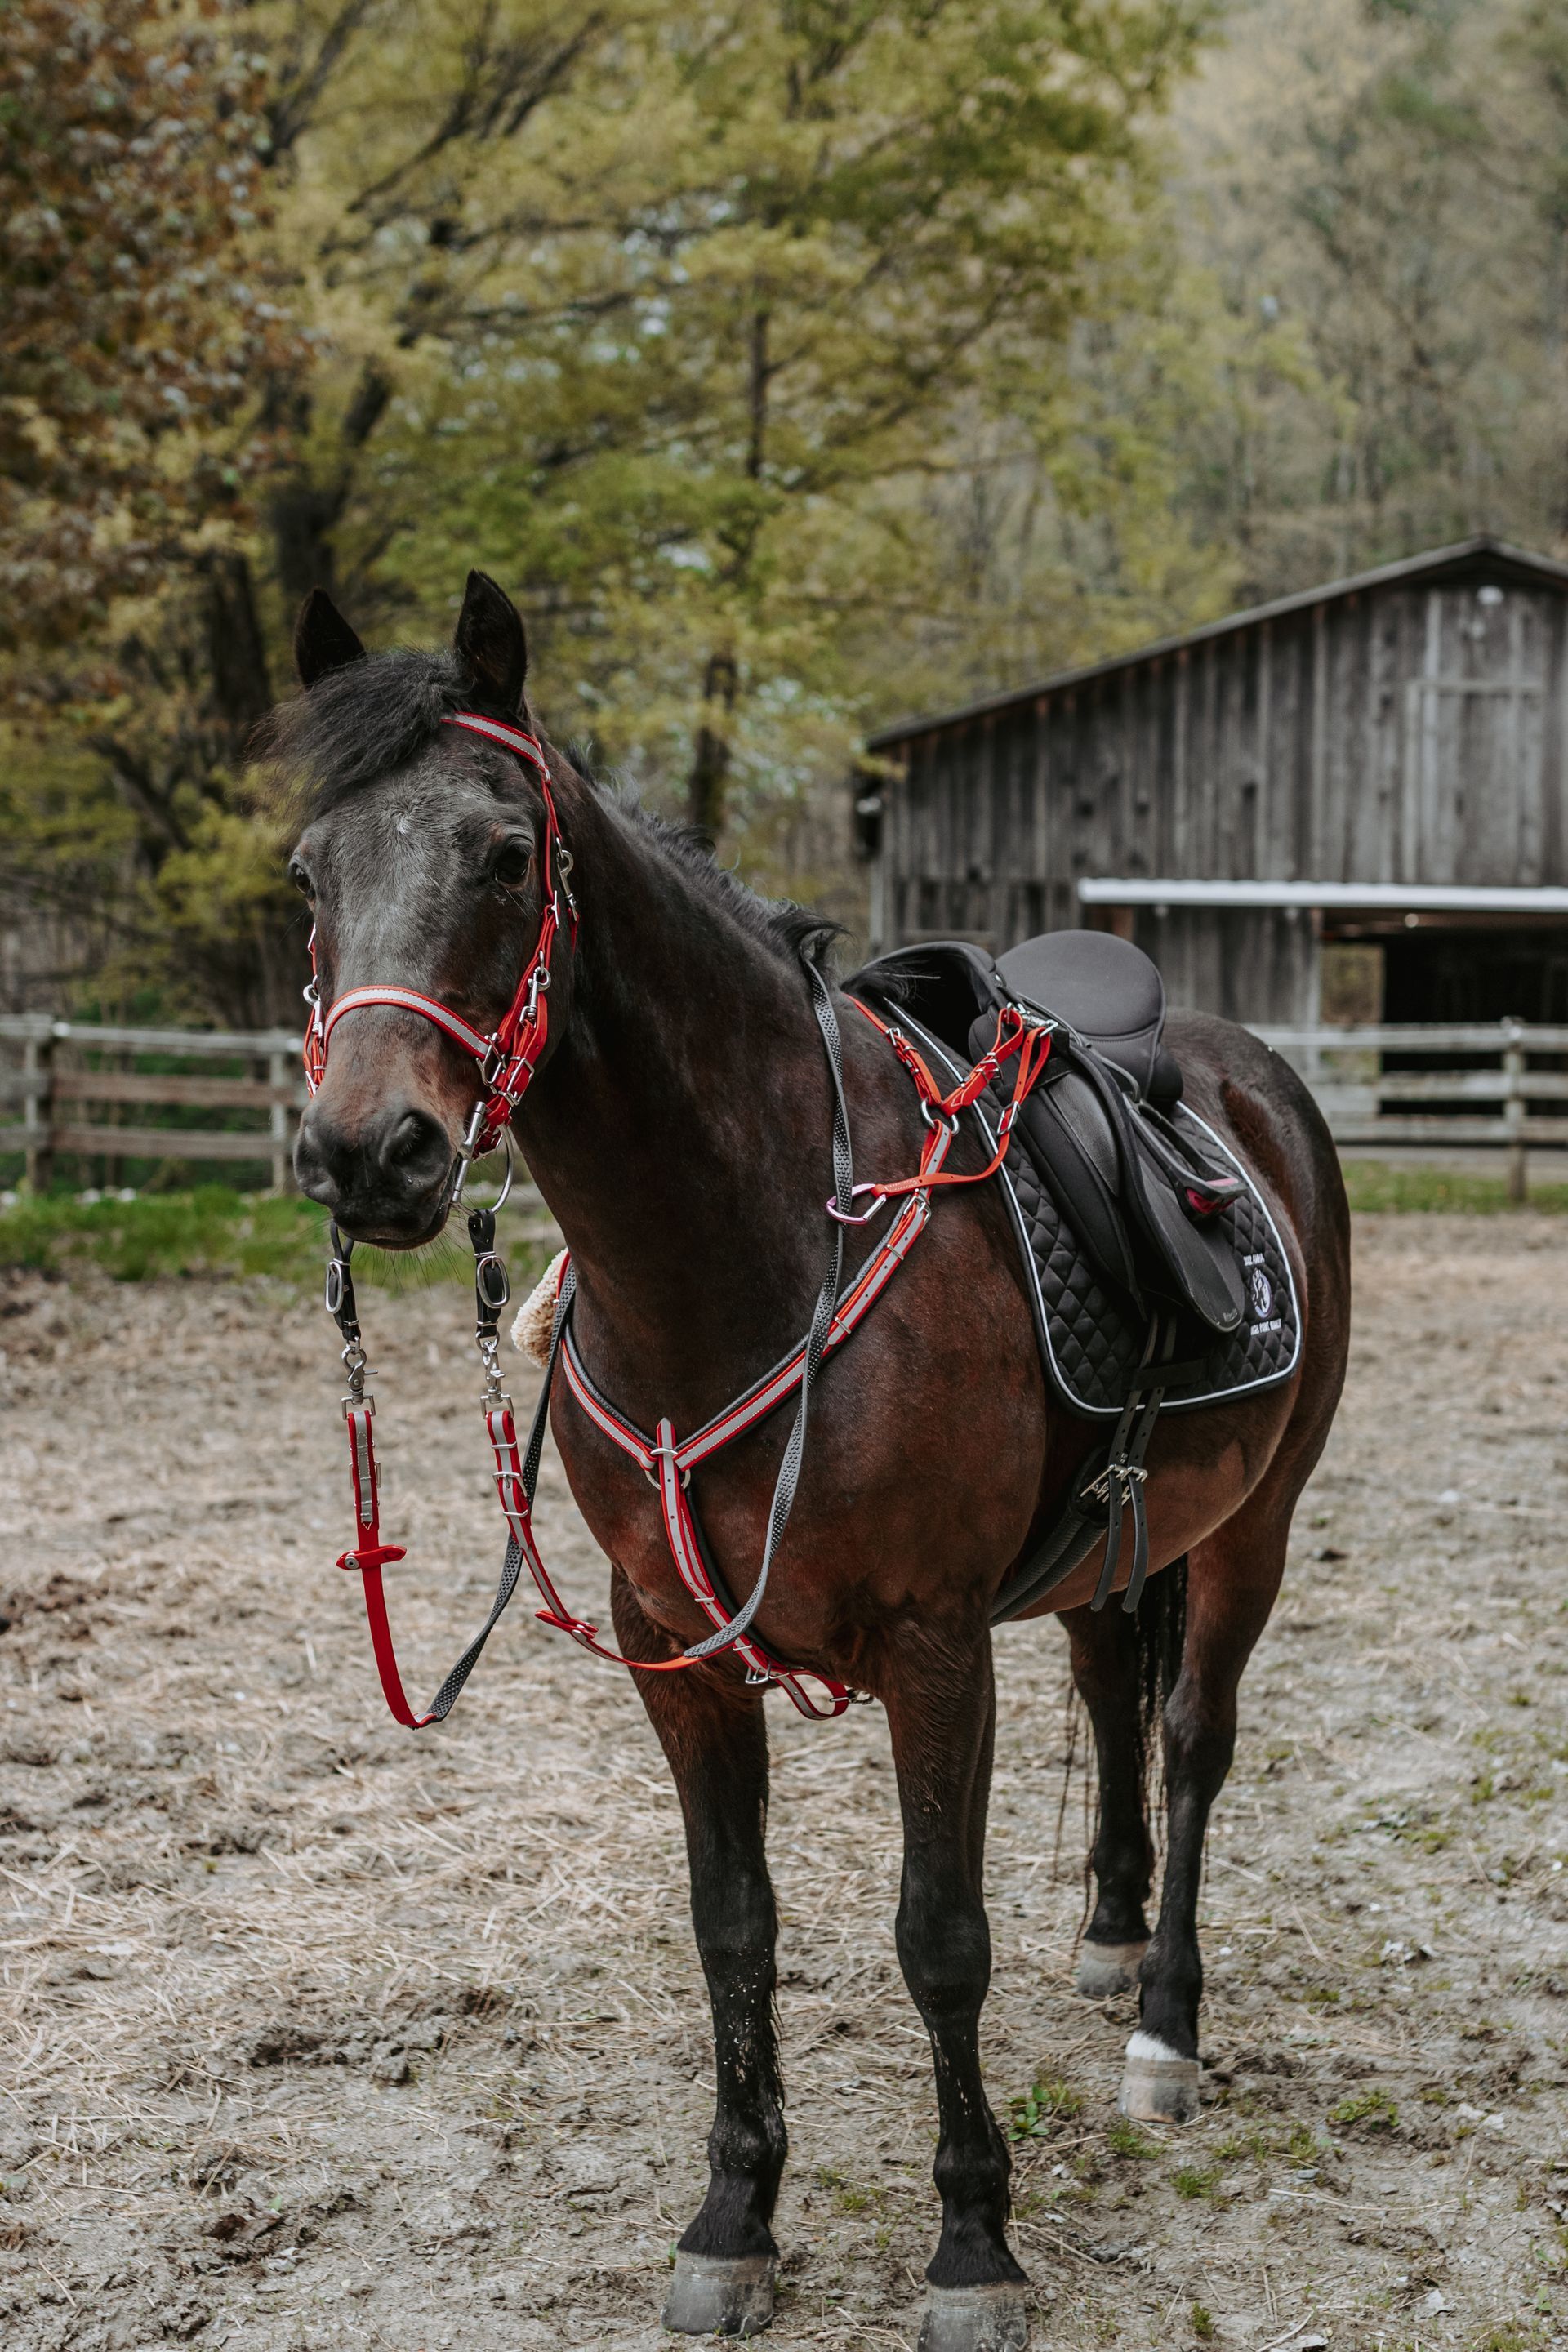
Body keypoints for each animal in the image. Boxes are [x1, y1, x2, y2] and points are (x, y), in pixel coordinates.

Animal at [272, 571, 1351, 2352]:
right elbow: (735, 1926)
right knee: (1112, 1692)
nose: (371, 1152)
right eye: (310, 872)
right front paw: (733, 2217)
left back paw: (1167, 2025)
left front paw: (973, 2245)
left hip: (1255, 1523)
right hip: (1107, 1546)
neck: (749, 1247)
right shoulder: (671, 1646)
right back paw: (1113, 1932)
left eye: (503, 853)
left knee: (1194, 1737)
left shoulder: (933, 1645)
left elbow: (940, 1938)